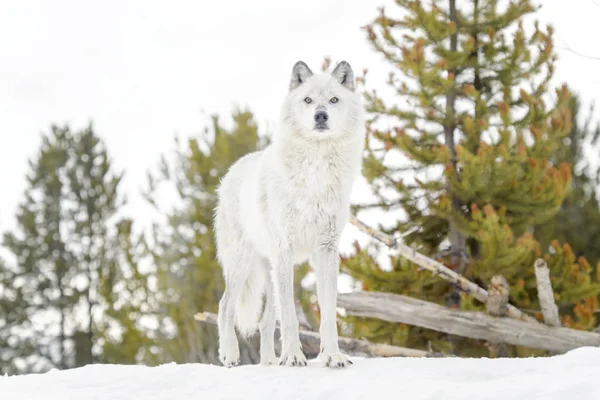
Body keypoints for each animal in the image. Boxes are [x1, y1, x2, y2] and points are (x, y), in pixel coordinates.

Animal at [216, 60, 366, 368]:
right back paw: (230, 354)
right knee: (225, 307)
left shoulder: (326, 251)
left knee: (264, 322)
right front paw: (295, 357)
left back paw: (269, 362)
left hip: (271, 270)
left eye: (333, 100)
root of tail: (233, 169)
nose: (320, 115)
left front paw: (332, 356)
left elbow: (328, 315)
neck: (316, 173)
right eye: (307, 100)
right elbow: (290, 318)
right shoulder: (284, 249)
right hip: (243, 265)